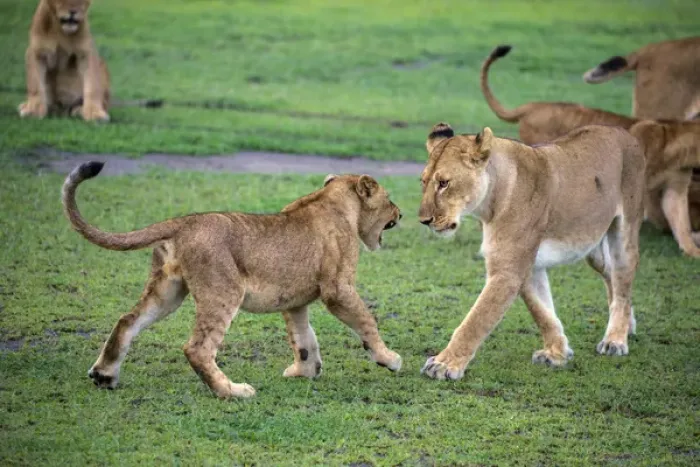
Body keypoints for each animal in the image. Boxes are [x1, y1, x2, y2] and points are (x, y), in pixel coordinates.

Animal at [62, 162, 403, 398]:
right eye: (390, 199)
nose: (400, 212)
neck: (334, 201)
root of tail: (185, 222)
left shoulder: (294, 301)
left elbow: (303, 338)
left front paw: (304, 371)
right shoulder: (338, 290)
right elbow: (366, 322)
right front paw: (389, 359)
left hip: (167, 291)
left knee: (127, 321)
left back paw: (104, 375)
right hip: (224, 292)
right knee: (197, 349)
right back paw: (233, 391)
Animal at [418, 123, 645, 380]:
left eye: (444, 183)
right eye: (423, 182)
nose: (424, 220)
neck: (490, 204)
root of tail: (623, 131)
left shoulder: (508, 271)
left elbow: (475, 321)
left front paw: (444, 364)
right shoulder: (528, 265)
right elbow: (542, 311)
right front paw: (557, 353)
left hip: (624, 234)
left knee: (623, 282)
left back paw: (615, 340)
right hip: (593, 248)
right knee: (611, 275)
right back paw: (629, 324)